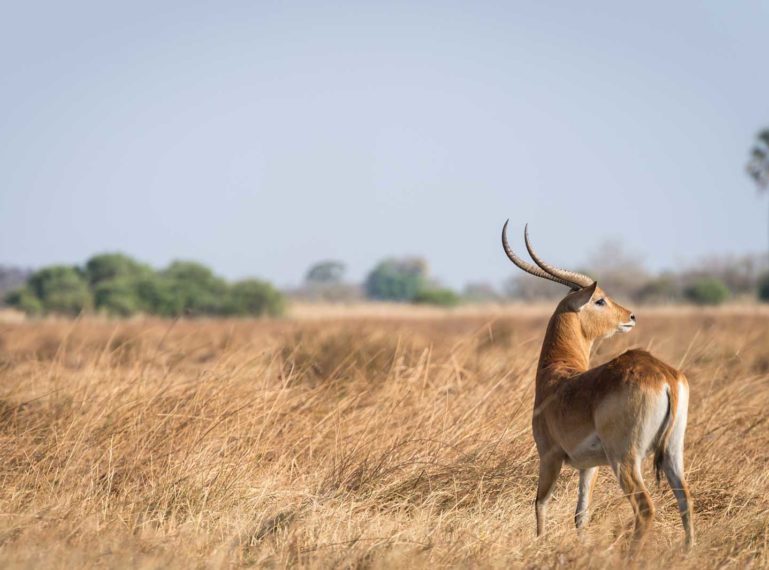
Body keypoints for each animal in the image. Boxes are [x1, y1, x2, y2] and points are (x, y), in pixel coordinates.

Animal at [500, 221, 692, 544]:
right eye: (599, 300)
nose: (631, 316)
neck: (558, 375)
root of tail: (664, 376)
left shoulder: (549, 455)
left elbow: (540, 503)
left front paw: (540, 544)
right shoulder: (589, 466)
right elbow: (581, 514)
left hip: (625, 459)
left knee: (645, 508)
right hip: (672, 453)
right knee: (685, 499)